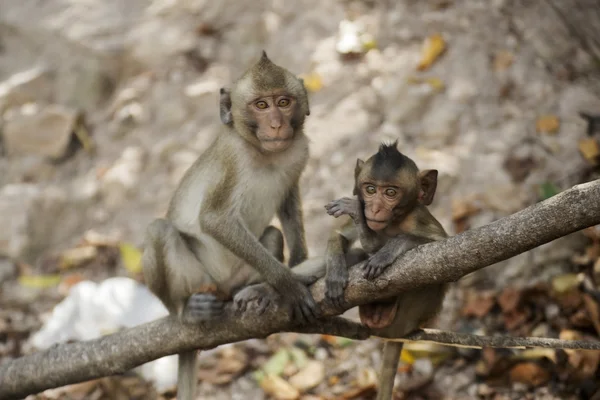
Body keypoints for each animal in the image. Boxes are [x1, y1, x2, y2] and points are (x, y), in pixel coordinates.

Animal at [143, 52, 322, 400]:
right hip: (199, 277)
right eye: (261, 105)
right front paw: (289, 284)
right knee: (160, 230)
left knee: (271, 233)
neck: (263, 152)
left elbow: (288, 204)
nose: (276, 124)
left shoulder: (299, 150)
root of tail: (221, 286)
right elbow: (215, 219)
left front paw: (296, 264)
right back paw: (186, 310)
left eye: (284, 101)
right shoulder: (232, 157)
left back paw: (257, 291)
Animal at [326, 142, 448, 400]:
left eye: (391, 193)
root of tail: (395, 333)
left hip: (410, 315)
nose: (374, 209)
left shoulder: (419, 218)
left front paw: (387, 251)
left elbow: (441, 247)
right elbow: (340, 235)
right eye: (371, 189)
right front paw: (335, 272)